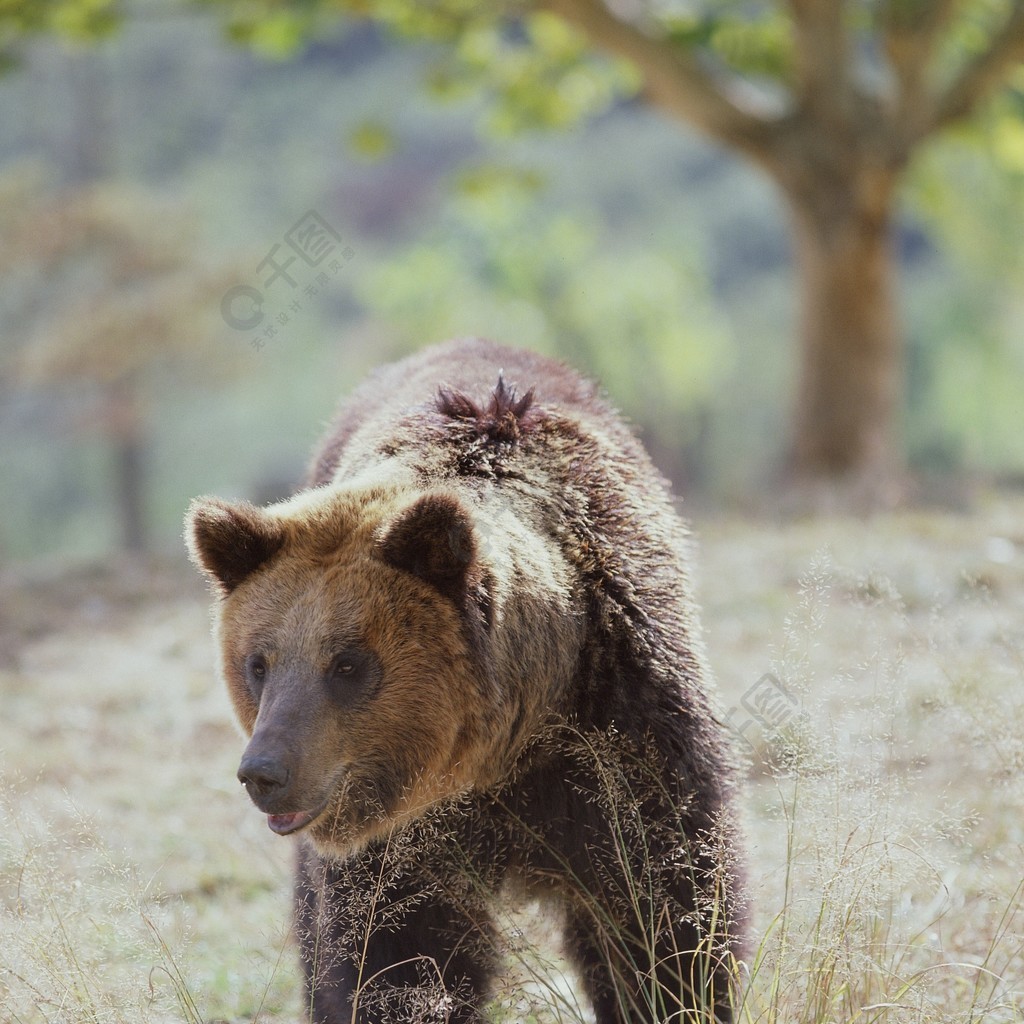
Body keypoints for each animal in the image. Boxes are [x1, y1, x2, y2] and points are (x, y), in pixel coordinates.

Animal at [186, 339, 745, 1019]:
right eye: (258, 664)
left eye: (347, 664)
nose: (264, 772)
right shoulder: (404, 836)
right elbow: (397, 950)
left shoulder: (620, 725)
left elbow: (663, 907)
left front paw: (676, 996)